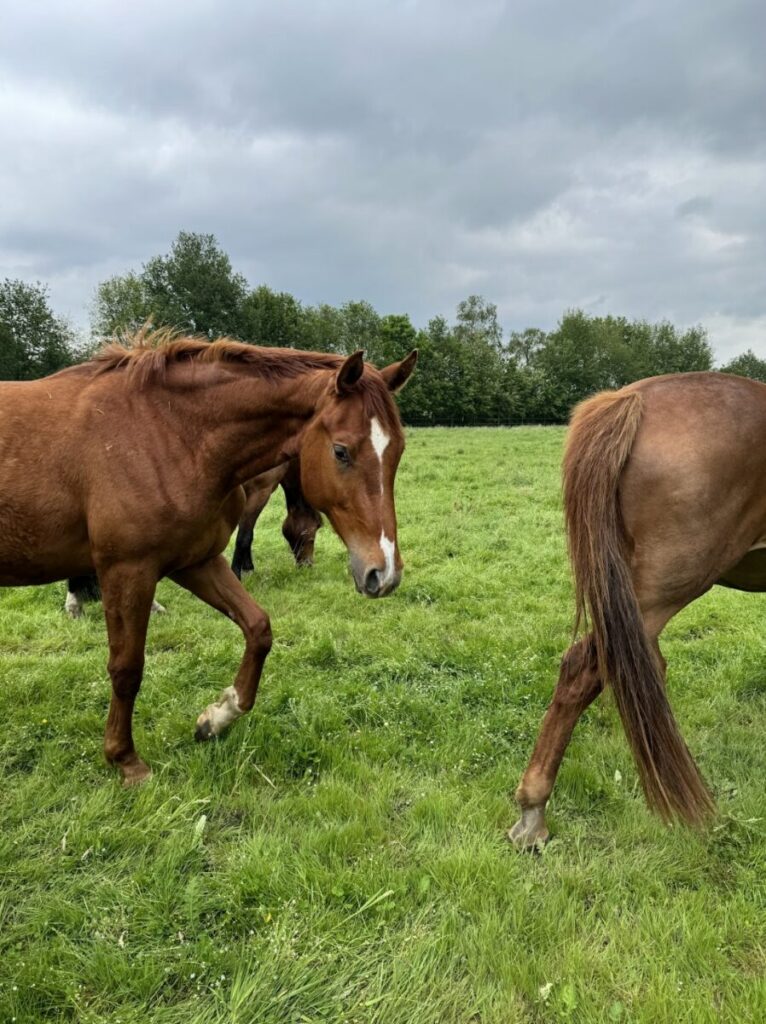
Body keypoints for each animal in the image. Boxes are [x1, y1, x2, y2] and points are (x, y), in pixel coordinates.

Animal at [64, 459, 321, 614]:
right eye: (315, 529)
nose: (307, 565)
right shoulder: (261, 488)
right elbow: (245, 535)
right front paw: (239, 573)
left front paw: (246, 567)